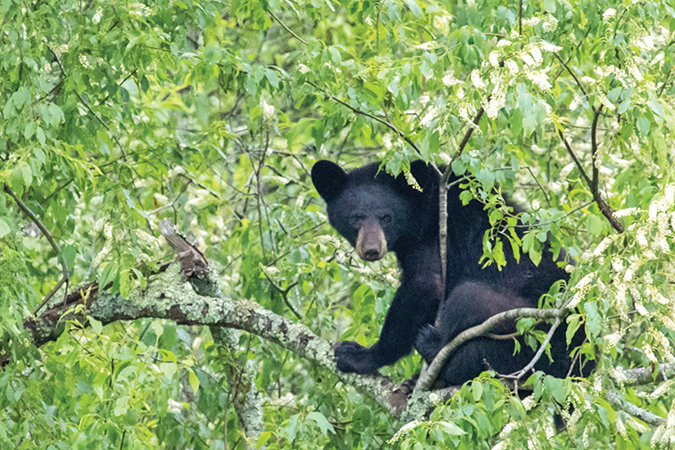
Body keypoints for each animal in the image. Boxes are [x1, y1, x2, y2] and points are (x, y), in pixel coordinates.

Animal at [311, 159, 588, 386]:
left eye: (386, 217)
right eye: (356, 217)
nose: (371, 249)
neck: (425, 206)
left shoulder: (433, 239)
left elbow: (424, 286)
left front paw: (362, 355)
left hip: (531, 329)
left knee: (468, 302)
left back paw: (432, 350)